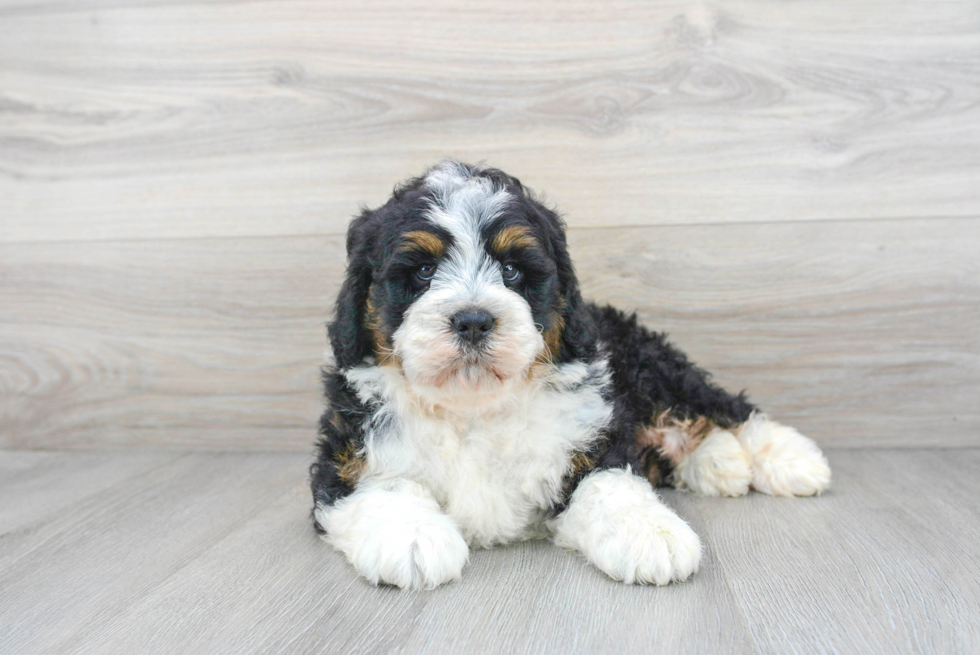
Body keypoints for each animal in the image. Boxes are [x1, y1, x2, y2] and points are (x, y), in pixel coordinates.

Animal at [310, 163, 832, 588]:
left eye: (511, 270)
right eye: (422, 271)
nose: (474, 320)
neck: (474, 408)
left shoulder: (592, 437)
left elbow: (609, 485)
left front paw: (650, 533)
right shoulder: (348, 452)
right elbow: (382, 485)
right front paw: (414, 538)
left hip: (650, 365)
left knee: (720, 408)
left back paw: (790, 459)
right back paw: (720, 463)